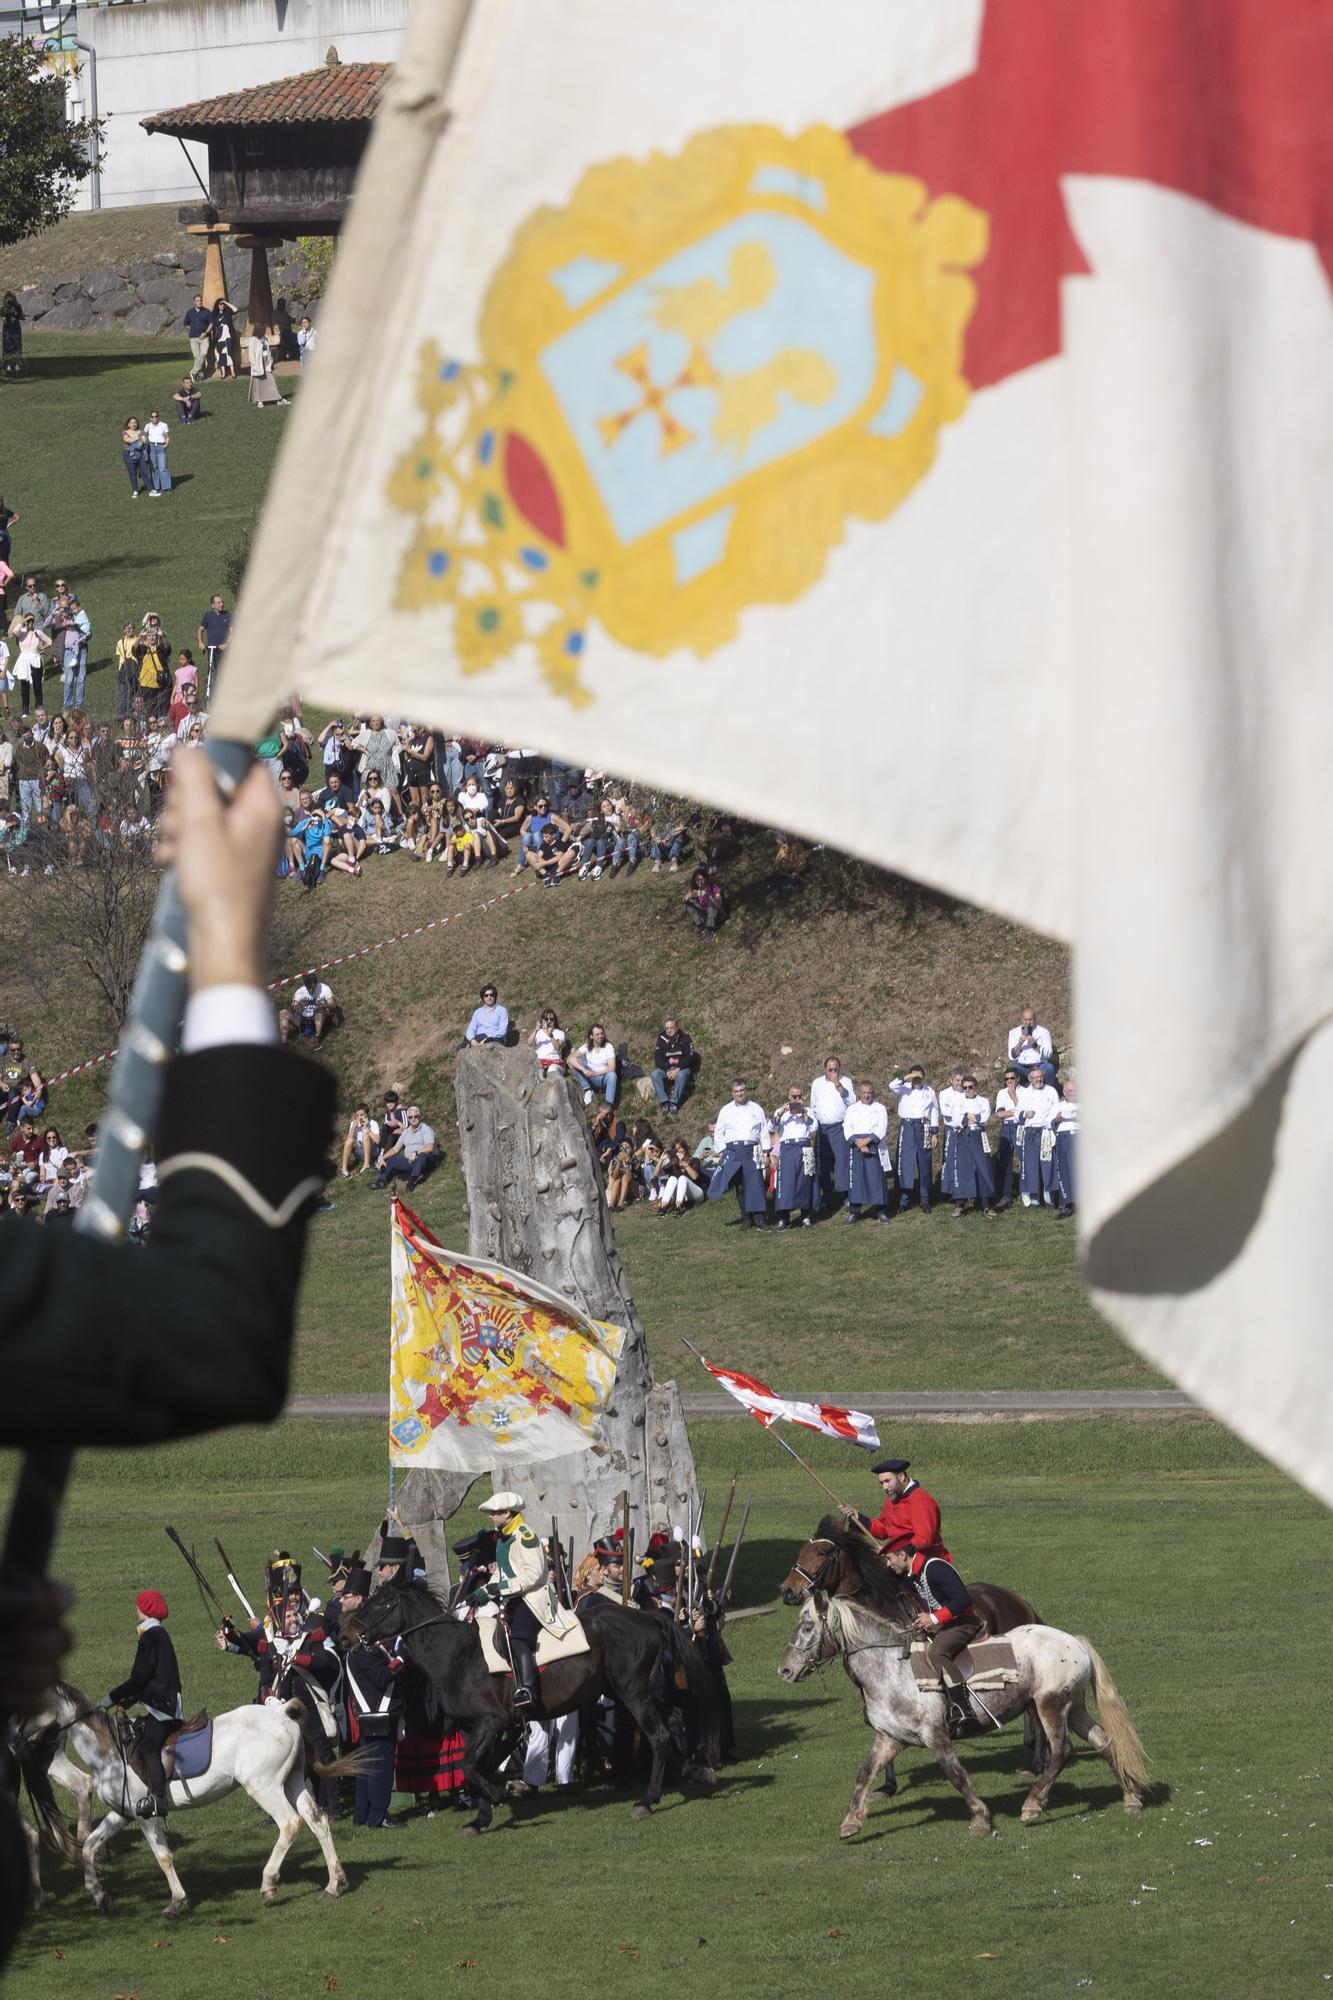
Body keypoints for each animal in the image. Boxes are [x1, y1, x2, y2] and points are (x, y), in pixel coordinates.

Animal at [23, 1680, 352, 1912]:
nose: (17, 1736)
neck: (111, 1754)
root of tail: (279, 1712)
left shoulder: (145, 1815)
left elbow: (163, 1856)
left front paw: (176, 1901)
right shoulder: (122, 1814)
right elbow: (90, 1846)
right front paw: (99, 1894)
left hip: (264, 1786)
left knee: (290, 1824)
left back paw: (268, 1883)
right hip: (292, 1781)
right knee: (318, 1821)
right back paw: (333, 1885)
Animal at [780, 1592, 1144, 1840]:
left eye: (808, 1626)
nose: (784, 1670)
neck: (892, 1668)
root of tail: (1074, 1642)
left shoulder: (935, 1735)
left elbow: (956, 1775)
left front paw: (980, 1819)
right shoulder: (890, 1738)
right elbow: (864, 1774)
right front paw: (851, 1821)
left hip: (1050, 1706)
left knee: (1062, 1752)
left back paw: (1032, 1805)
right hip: (1074, 1708)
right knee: (1104, 1742)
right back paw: (1130, 1798)